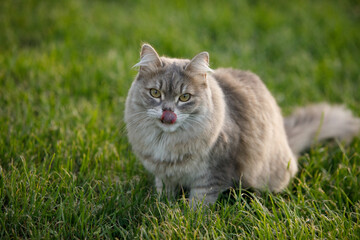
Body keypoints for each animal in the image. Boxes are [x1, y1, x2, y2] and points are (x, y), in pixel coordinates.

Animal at [124, 44, 360, 207]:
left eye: (184, 97)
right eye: (155, 93)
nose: (168, 113)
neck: (166, 142)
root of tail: (287, 140)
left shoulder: (212, 174)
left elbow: (199, 204)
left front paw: (191, 219)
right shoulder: (163, 175)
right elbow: (163, 194)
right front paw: (162, 207)